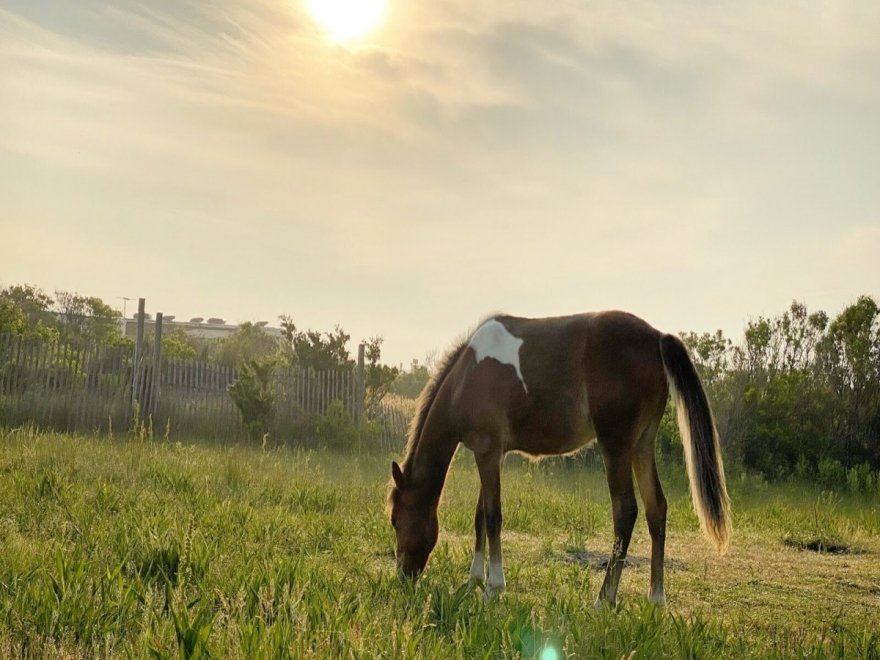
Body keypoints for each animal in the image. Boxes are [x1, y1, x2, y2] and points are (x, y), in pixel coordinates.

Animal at [388, 312, 732, 604]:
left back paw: (604, 599)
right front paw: (474, 580)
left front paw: (493, 587)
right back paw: (656, 598)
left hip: (616, 447)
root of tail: (656, 337)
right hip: (642, 446)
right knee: (656, 509)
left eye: (395, 520)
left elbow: (493, 517)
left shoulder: (486, 452)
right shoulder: (494, 455)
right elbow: (480, 518)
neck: (467, 376)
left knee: (626, 512)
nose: (403, 577)